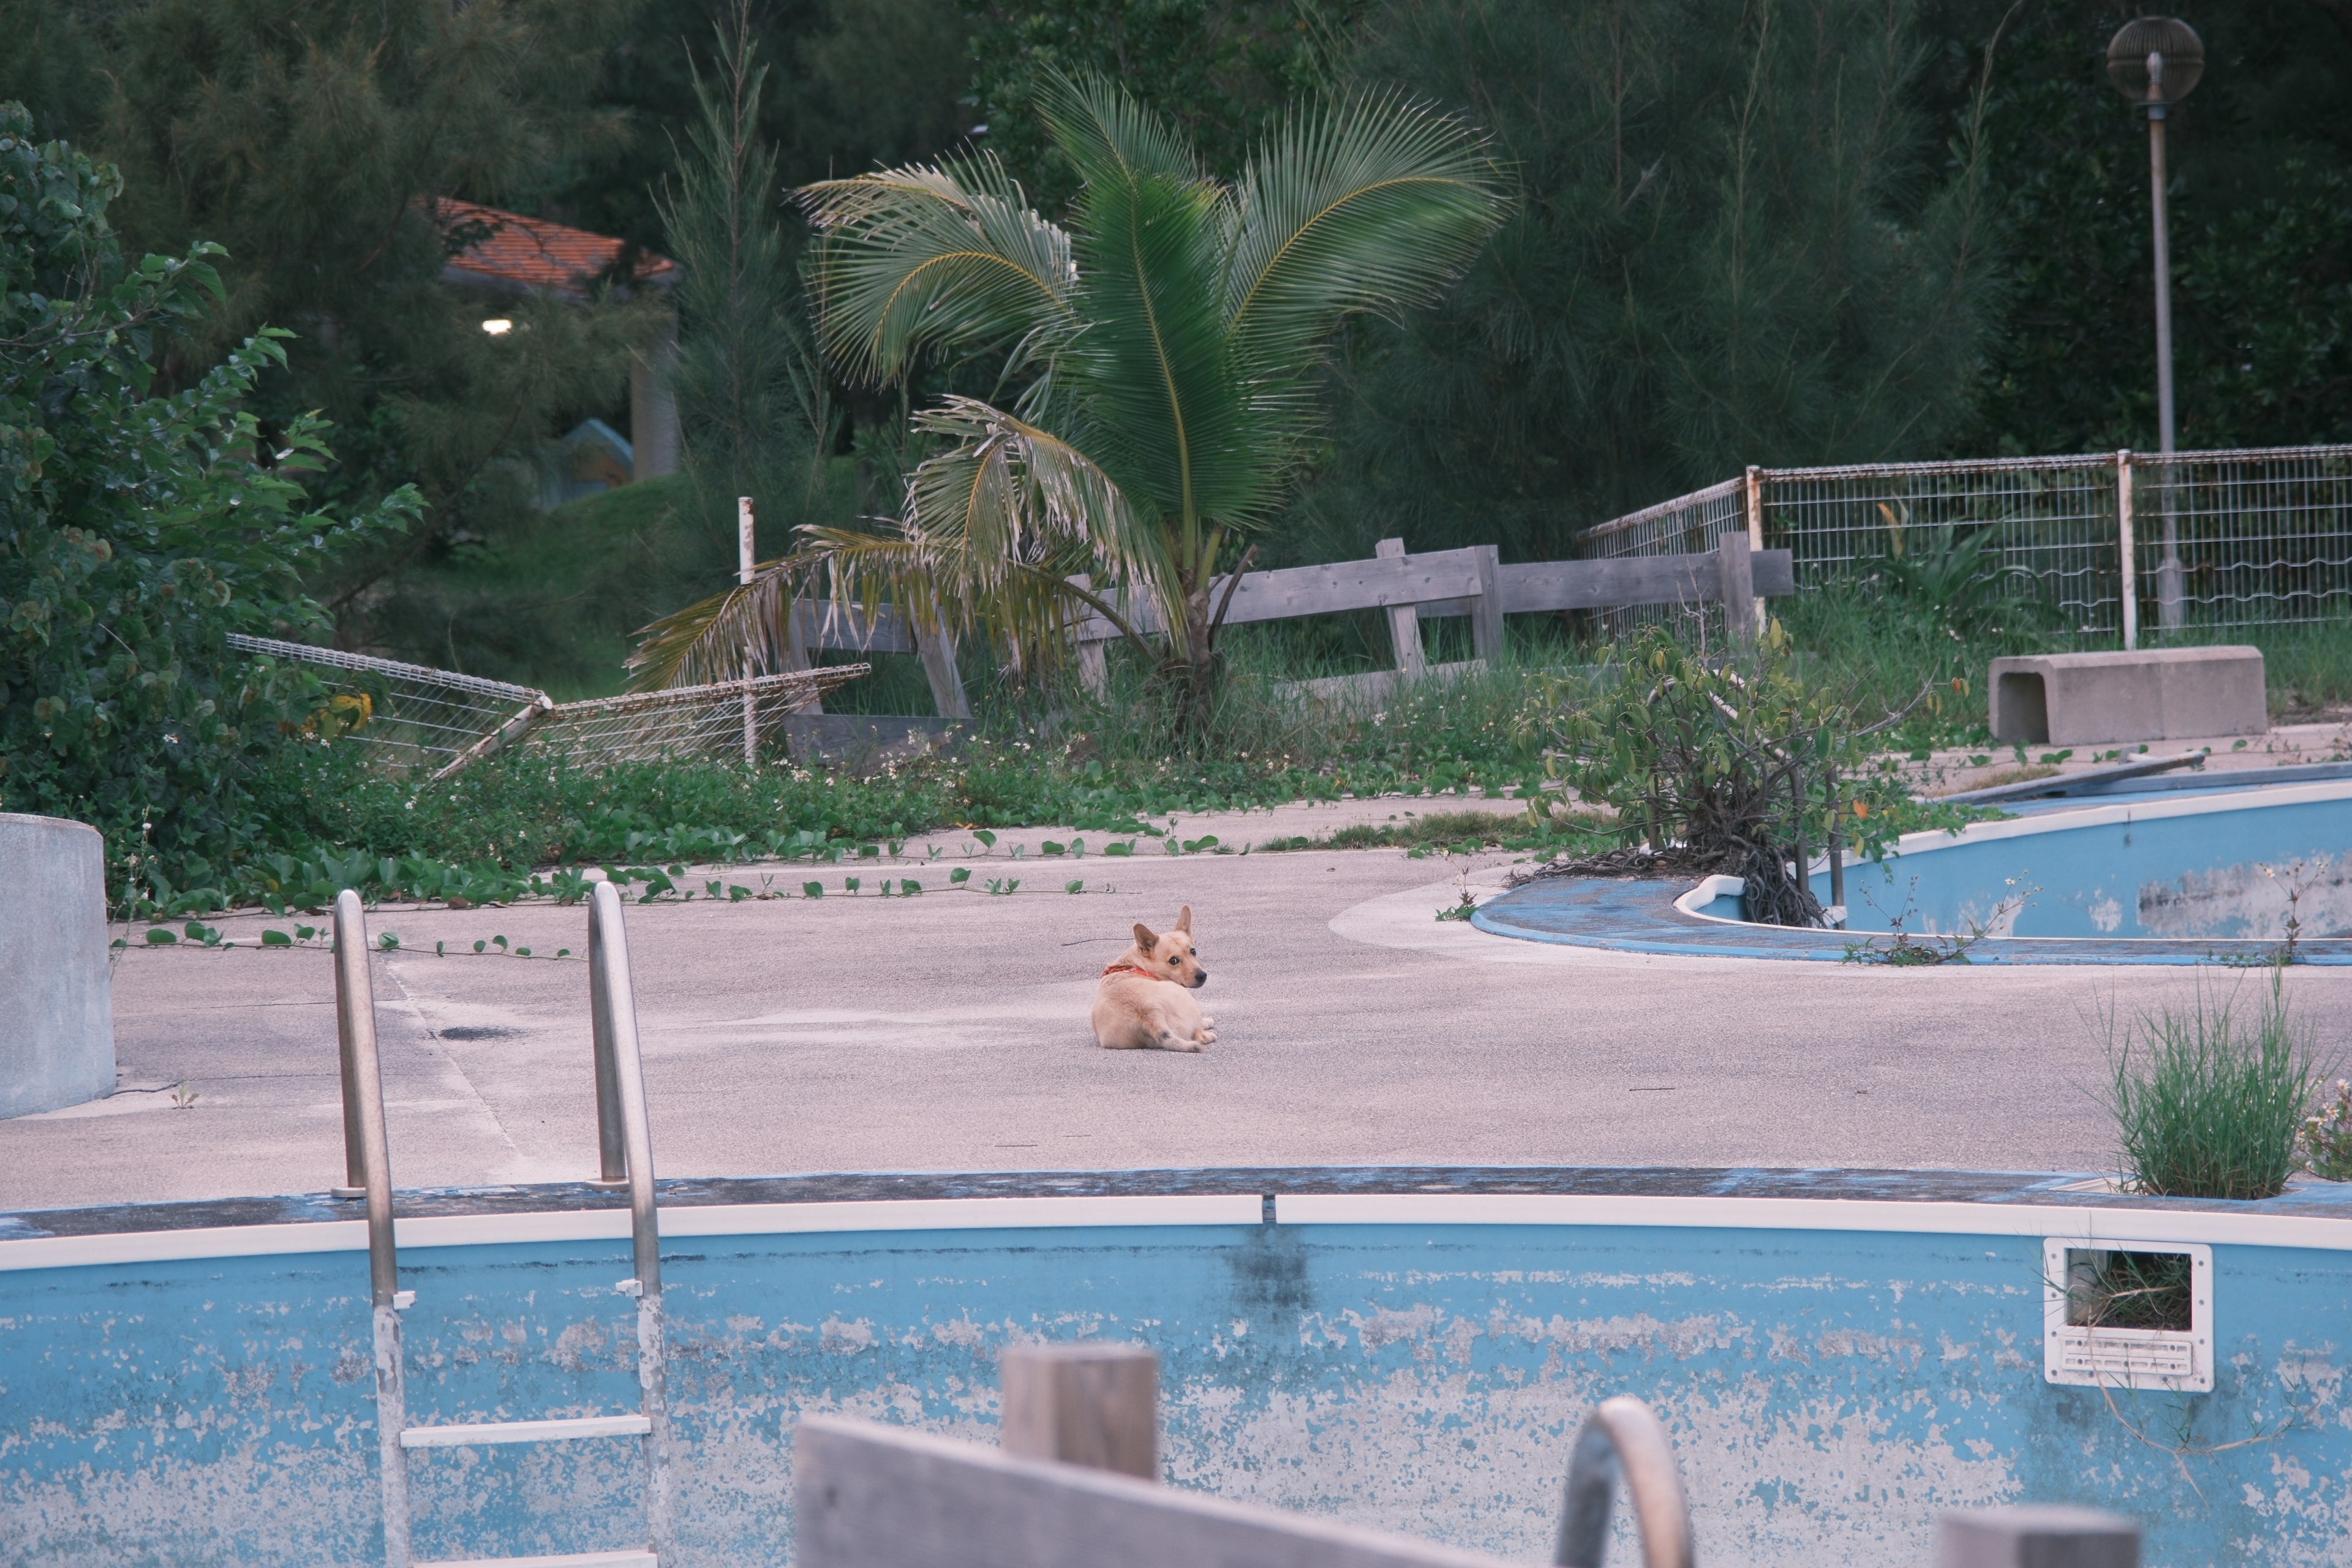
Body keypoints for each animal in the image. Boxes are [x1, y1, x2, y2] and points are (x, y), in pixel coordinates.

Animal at [1091, 907, 1223, 1053]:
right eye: (1173, 961)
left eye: (1193, 951)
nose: (1202, 976)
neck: (1138, 965)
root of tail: (1152, 1016)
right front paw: (1207, 1022)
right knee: (1199, 1036)